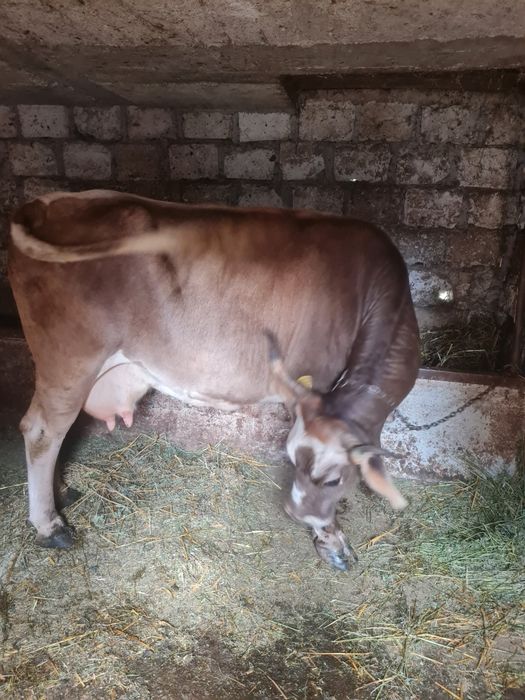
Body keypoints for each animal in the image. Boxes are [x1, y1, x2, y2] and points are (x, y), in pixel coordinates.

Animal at [8, 190, 419, 570]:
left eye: (333, 481)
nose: (296, 514)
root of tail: (47, 202)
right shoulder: (317, 378)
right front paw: (331, 541)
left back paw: (60, 490)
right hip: (70, 359)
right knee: (43, 431)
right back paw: (50, 525)